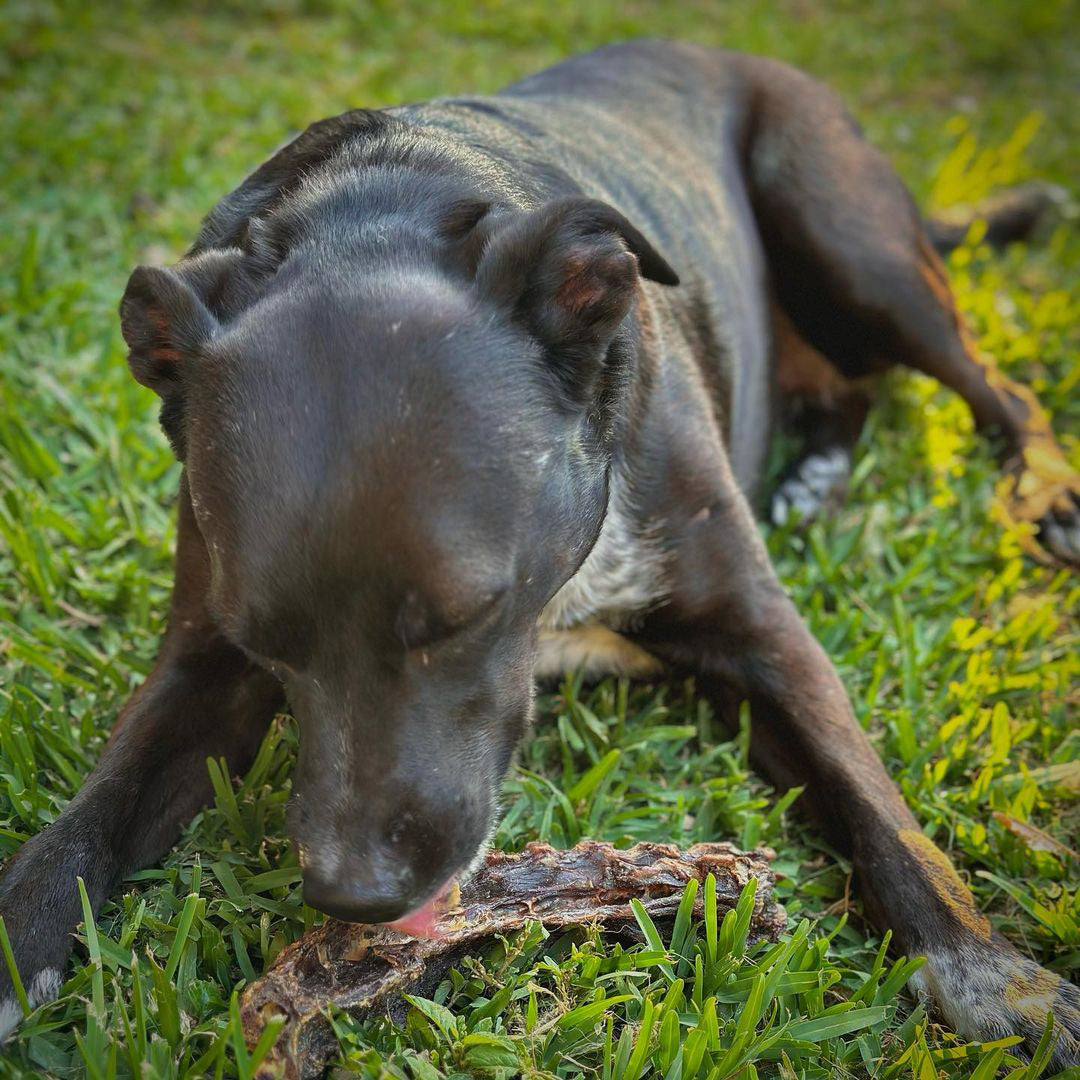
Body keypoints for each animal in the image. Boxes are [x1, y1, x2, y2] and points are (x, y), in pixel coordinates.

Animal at [2, 42, 1080, 1062]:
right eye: (262, 639)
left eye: (468, 615)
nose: (357, 897)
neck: (371, 210)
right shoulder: (205, 661)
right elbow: (93, 810)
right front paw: (17, 940)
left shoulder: (761, 635)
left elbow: (877, 806)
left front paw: (989, 970)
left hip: (849, 236)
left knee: (992, 382)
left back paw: (1042, 489)